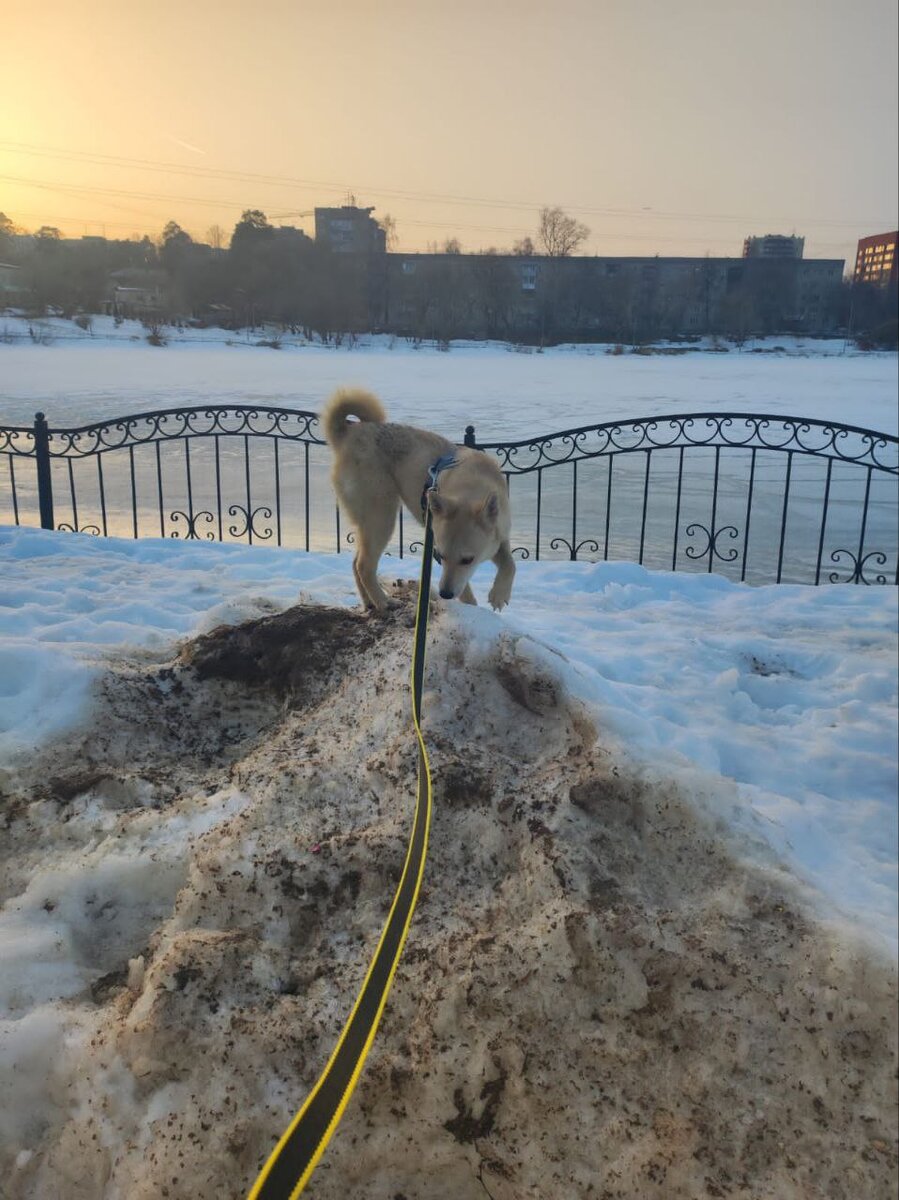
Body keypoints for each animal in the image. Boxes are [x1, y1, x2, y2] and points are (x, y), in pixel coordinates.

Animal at [324, 388, 516, 614]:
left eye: (468, 559)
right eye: (440, 555)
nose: (445, 594)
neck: (472, 484)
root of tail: (348, 433)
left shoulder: (499, 537)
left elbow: (510, 563)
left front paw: (499, 594)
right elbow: (468, 592)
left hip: (368, 522)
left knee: (355, 563)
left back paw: (370, 602)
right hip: (381, 515)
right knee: (364, 565)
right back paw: (383, 601)